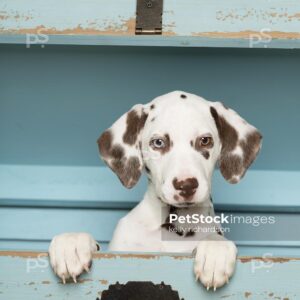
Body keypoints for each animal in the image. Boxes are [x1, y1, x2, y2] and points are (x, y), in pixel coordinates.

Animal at [48, 91, 262, 290]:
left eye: (205, 141)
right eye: (158, 142)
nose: (186, 185)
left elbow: (216, 239)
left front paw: (215, 251)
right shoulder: (119, 251)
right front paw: (71, 244)